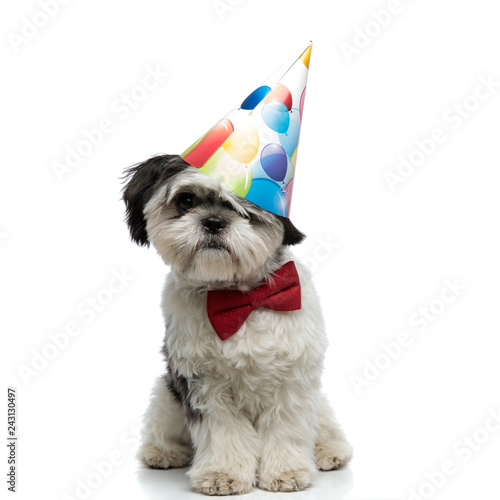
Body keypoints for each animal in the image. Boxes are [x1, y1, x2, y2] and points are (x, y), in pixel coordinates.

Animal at [123, 154, 354, 494]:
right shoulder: (204, 384)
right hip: (167, 395)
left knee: (323, 423)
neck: (240, 299)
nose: (214, 221)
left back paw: (329, 451)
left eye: (247, 207)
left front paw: (287, 471)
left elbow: (286, 427)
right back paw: (163, 452)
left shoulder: (292, 379)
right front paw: (222, 474)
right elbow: (224, 432)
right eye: (186, 200)